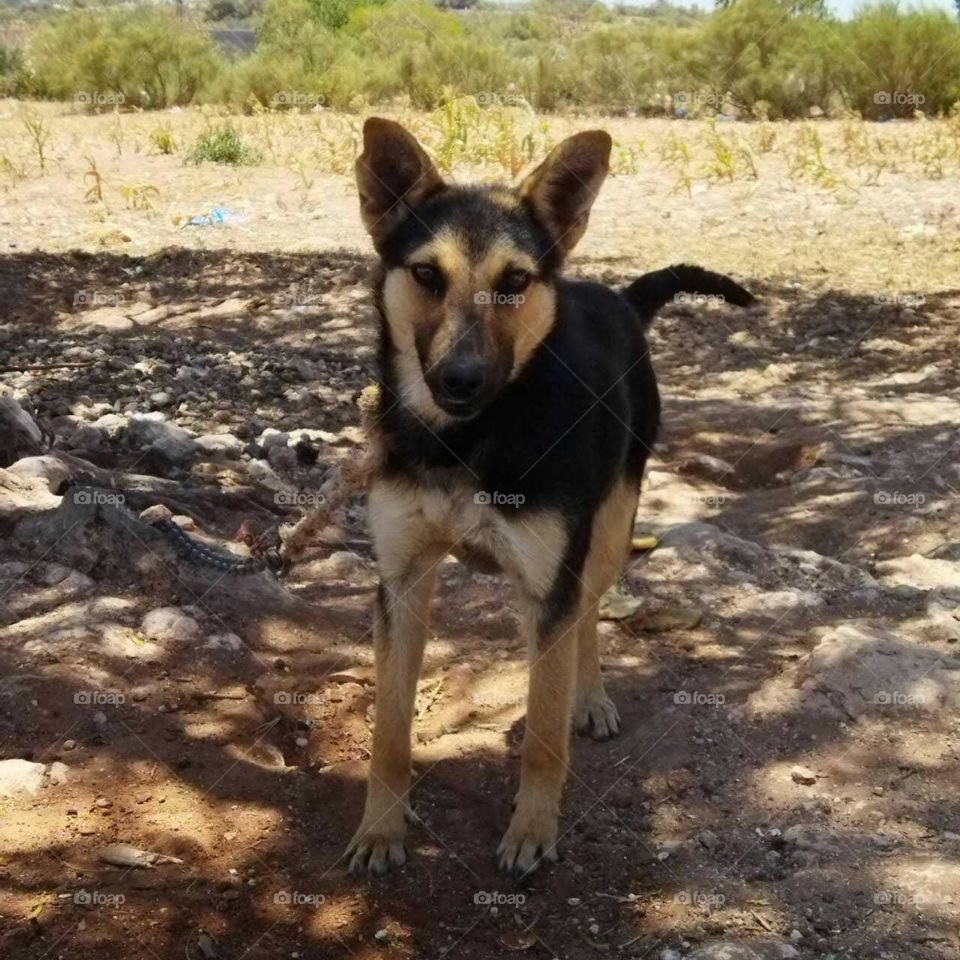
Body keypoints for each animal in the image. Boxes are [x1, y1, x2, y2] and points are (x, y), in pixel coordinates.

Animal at [346, 118, 756, 876]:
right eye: (427, 274)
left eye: (514, 281)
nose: (461, 380)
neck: (466, 441)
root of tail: (619, 299)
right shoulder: (403, 579)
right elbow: (388, 729)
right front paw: (381, 828)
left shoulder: (552, 578)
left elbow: (542, 733)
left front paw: (532, 830)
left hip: (607, 531)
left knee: (587, 614)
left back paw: (588, 699)